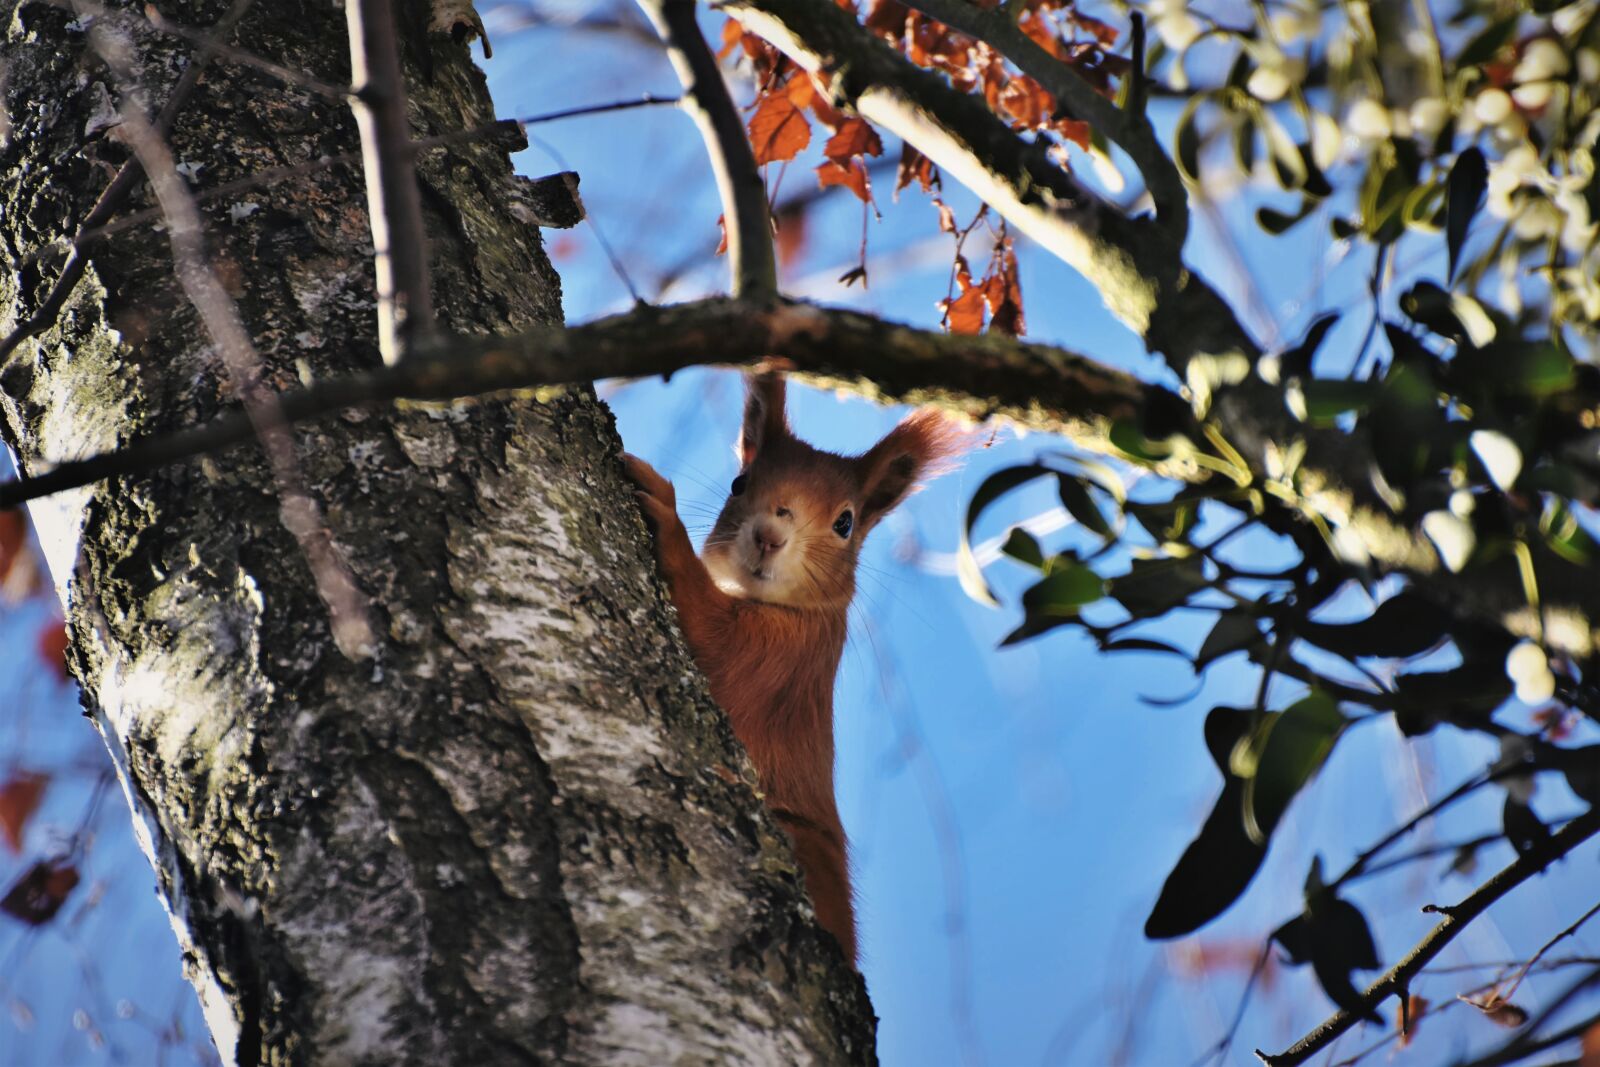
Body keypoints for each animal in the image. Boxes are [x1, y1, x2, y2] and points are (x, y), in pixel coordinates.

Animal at [623, 374, 958, 963]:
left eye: (845, 522)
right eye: (739, 482)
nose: (768, 537)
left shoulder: (780, 657)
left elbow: (713, 637)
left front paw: (666, 513)